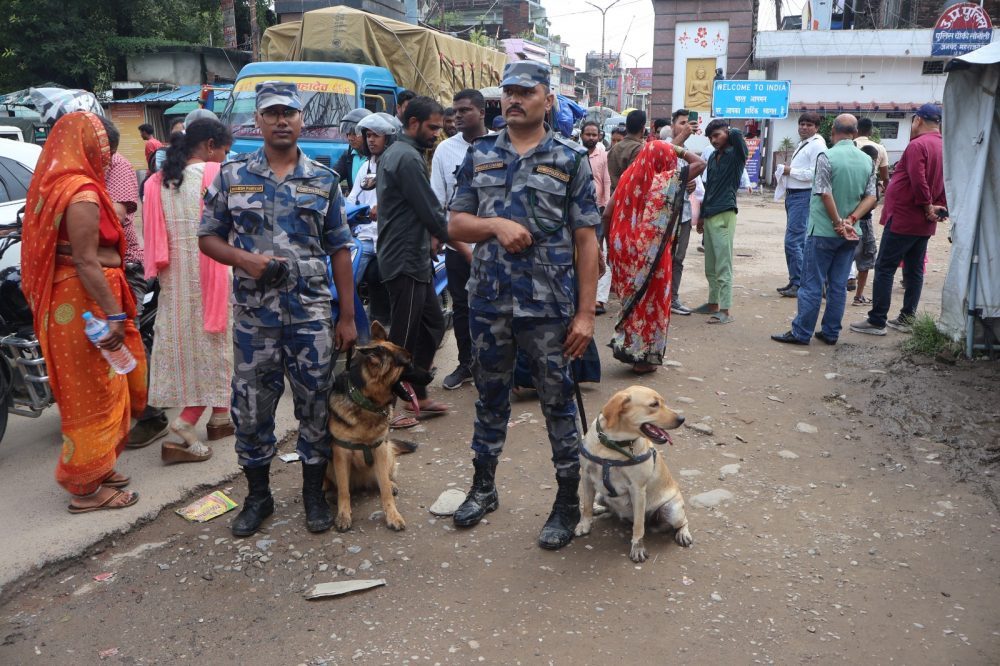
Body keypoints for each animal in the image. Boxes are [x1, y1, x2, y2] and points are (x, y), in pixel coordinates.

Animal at [324, 320, 426, 532]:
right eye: (408, 363)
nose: (431, 374)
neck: (365, 402)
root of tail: (361, 483)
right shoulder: (341, 453)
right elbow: (344, 491)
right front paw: (343, 515)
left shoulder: (379, 449)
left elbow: (384, 490)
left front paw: (393, 515)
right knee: (339, 485)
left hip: (386, 452)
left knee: (385, 477)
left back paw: (391, 483)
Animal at [576, 384, 692, 560]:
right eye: (654, 404)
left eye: (662, 402)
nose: (682, 419)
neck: (614, 445)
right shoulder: (587, 477)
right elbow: (587, 506)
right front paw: (584, 524)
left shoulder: (637, 489)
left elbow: (638, 525)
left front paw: (638, 547)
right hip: (601, 495)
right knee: (606, 506)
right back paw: (599, 508)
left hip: (672, 511)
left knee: (683, 521)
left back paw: (683, 533)